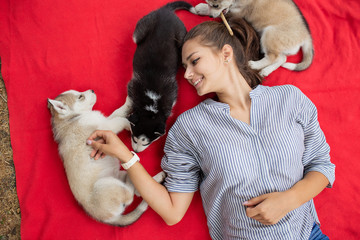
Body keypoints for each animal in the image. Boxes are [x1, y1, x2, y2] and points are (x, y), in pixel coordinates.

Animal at [47, 89, 166, 225]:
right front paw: (130, 125)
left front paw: (127, 105)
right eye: (80, 97)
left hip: (119, 176)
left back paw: (158, 177)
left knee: (138, 191)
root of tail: (110, 219)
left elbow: (116, 113)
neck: (71, 118)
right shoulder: (105, 128)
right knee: (131, 196)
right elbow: (120, 120)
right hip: (106, 184)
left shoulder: (105, 120)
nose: (92, 90)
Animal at [126, 0, 194, 152]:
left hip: (182, 38)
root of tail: (165, 12)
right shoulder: (132, 87)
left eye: (147, 143)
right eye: (134, 138)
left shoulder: (172, 97)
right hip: (139, 31)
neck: (152, 102)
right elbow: (128, 99)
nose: (135, 151)